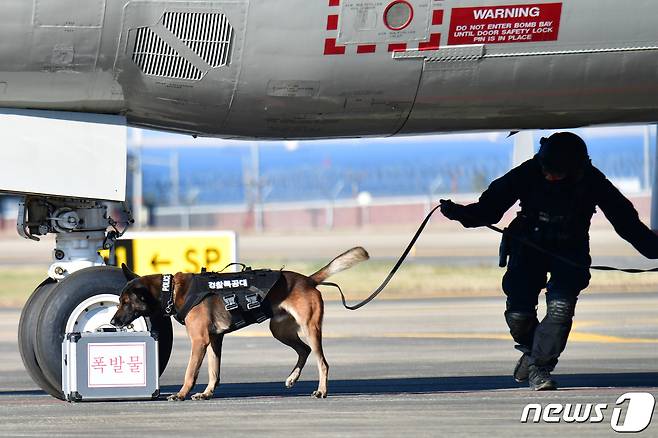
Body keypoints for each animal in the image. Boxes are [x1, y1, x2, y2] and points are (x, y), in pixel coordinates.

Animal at [109, 246, 366, 400]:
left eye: (125, 302)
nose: (112, 320)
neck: (171, 291)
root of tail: (309, 280)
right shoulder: (214, 340)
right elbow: (213, 371)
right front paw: (207, 393)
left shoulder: (199, 341)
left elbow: (191, 372)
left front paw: (181, 394)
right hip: (280, 330)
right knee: (303, 350)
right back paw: (292, 378)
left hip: (310, 329)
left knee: (322, 361)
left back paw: (321, 390)